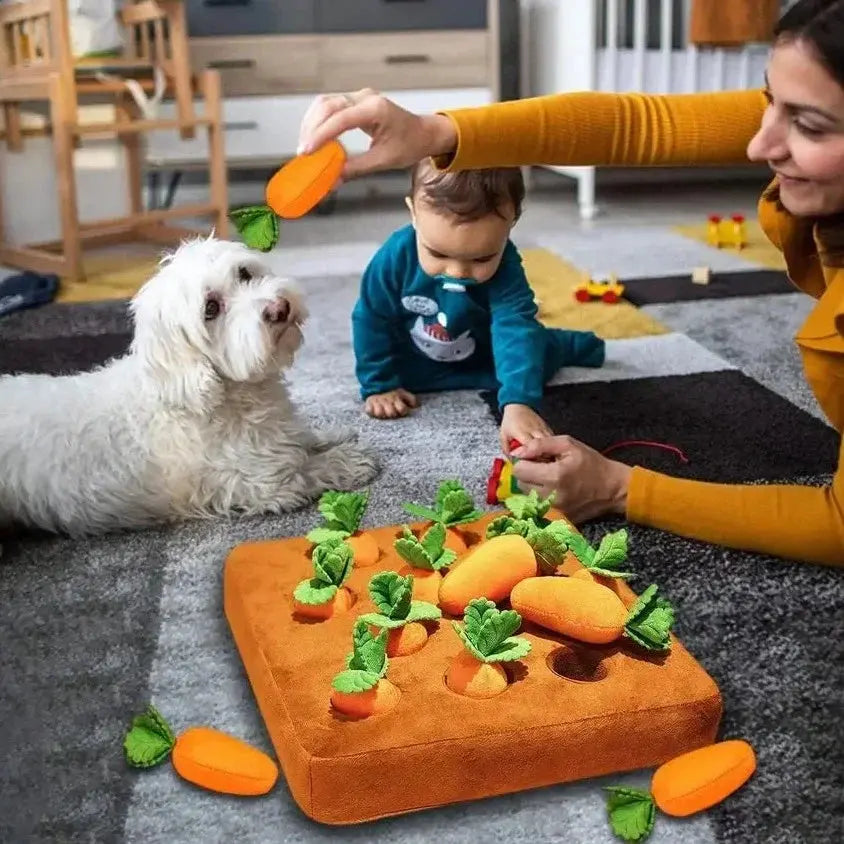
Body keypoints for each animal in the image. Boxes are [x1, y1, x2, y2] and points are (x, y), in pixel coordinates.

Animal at [0, 234, 380, 536]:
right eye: (210, 308)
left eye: (244, 274)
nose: (279, 308)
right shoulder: (262, 484)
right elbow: (308, 470)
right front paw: (346, 461)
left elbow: (303, 438)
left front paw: (328, 434)